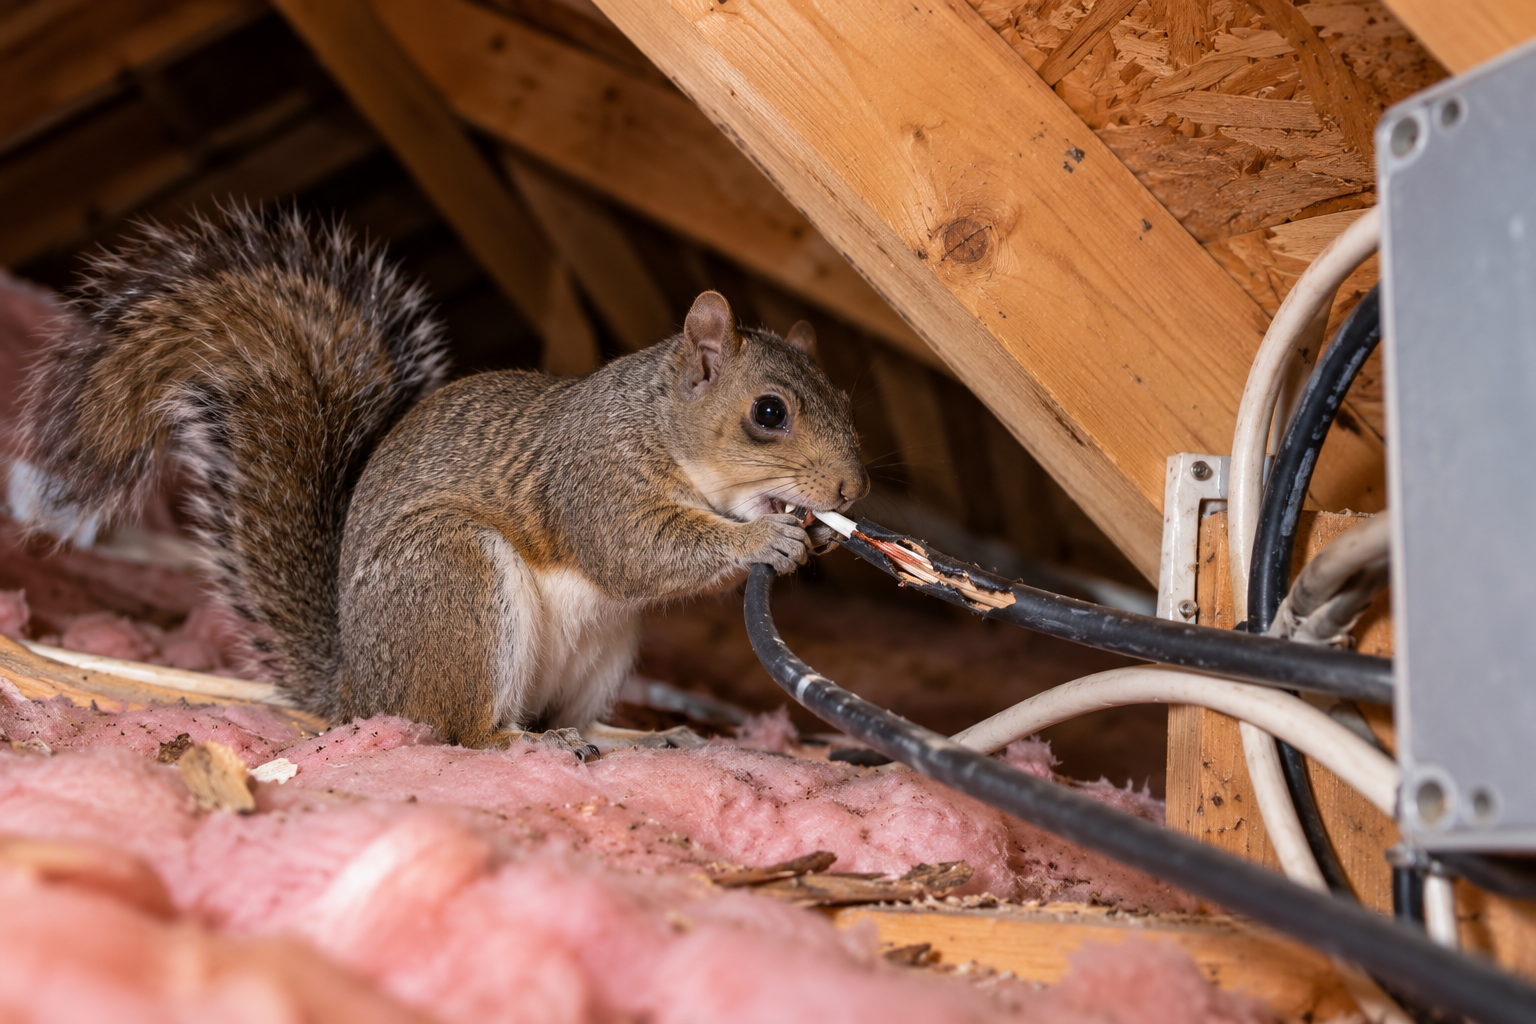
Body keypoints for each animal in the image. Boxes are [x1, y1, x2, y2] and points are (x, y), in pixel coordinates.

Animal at [11, 208, 868, 751]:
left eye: (846, 395)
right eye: (768, 412)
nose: (851, 494)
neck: (660, 426)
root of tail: (358, 691)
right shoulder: (594, 479)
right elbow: (636, 550)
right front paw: (767, 538)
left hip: (603, 649)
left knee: (571, 716)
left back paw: (643, 740)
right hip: (455, 581)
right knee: (457, 730)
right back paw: (523, 743)